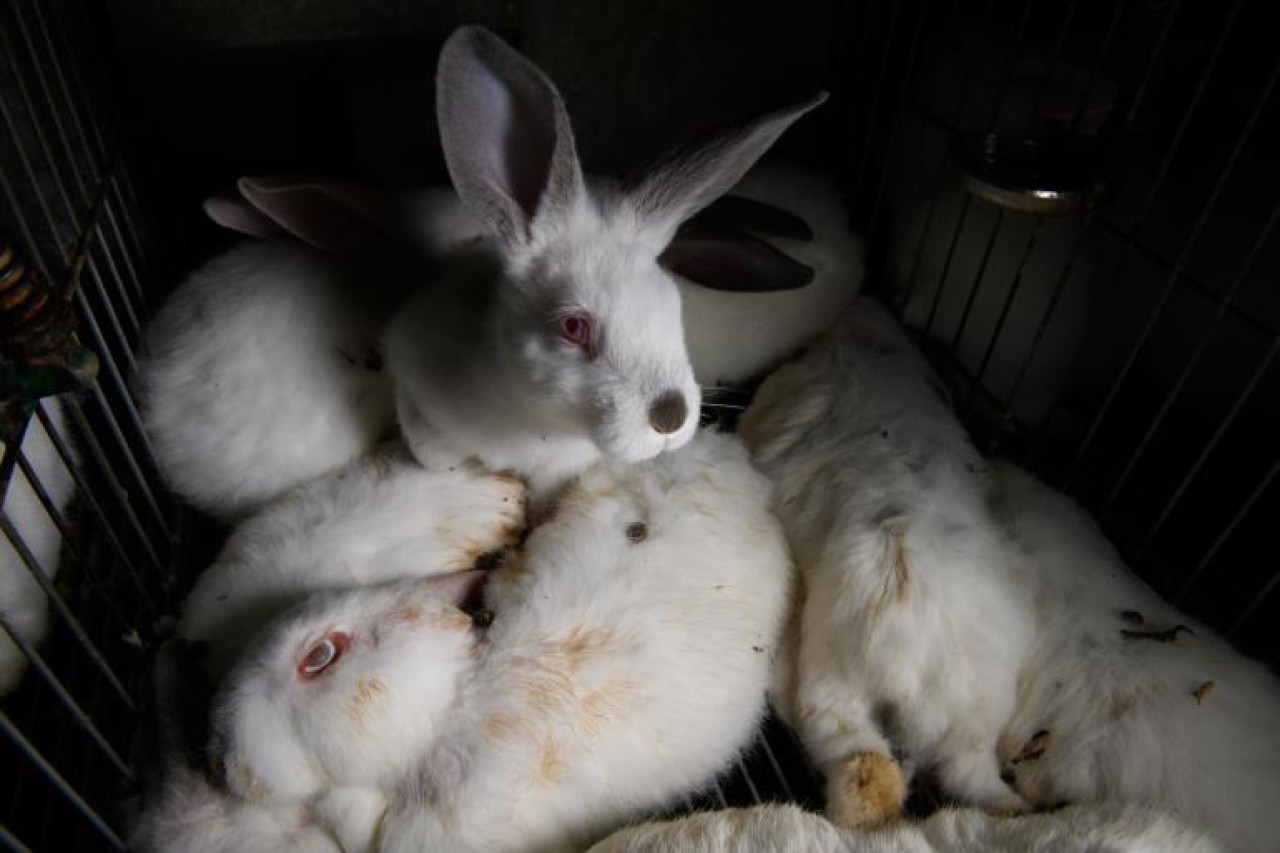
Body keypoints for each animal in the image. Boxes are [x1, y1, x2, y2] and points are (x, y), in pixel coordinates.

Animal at [383, 26, 825, 501]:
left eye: (674, 305)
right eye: (573, 326)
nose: (670, 416)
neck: (532, 422)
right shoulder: (416, 392)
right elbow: (432, 455)